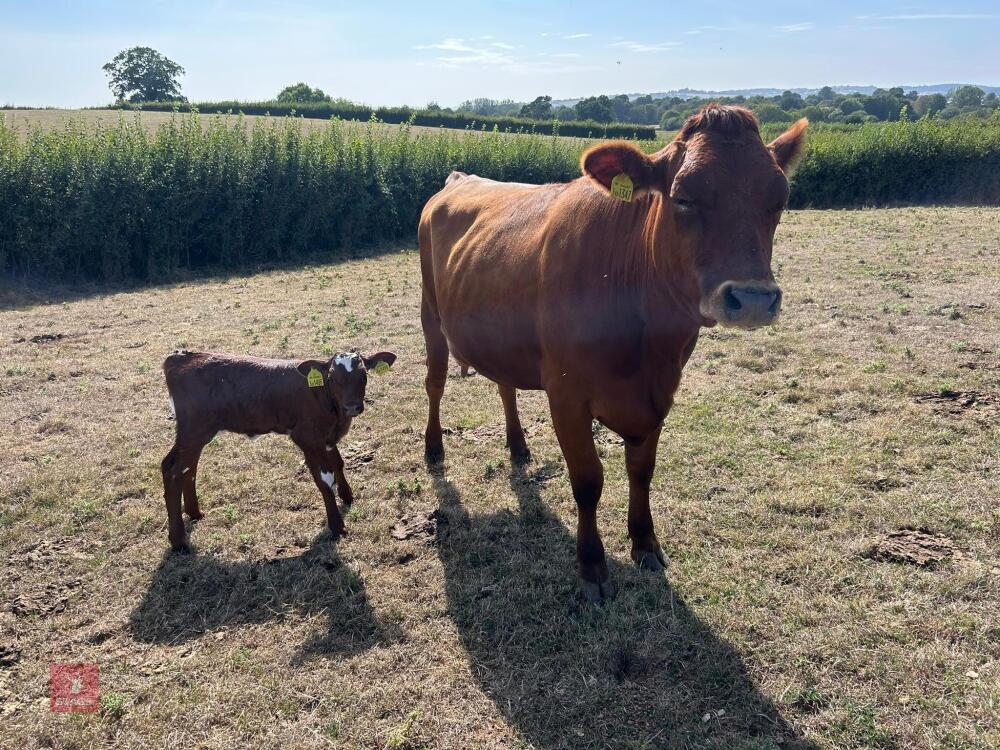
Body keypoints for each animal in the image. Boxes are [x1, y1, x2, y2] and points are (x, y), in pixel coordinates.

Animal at [161, 349, 396, 551]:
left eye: (363, 375)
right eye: (331, 378)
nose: (352, 407)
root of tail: (181, 357)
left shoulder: (328, 436)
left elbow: (338, 462)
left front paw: (347, 495)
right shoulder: (308, 437)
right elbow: (324, 478)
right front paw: (337, 526)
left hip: (193, 435)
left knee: (182, 467)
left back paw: (194, 513)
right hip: (194, 431)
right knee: (174, 471)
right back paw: (178, 541)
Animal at [418, 105, 807, 600]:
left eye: (780, 200)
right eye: (682, 198)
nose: (754, 299)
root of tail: (458, 179)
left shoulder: (659, 393)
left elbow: (641, 471)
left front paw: (645, 544)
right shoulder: (566, 395)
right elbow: (588, 481)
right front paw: (592, 567)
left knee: (505, 385)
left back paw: (518, 446)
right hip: (430, 313)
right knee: (434, 383)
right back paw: (433, 448)